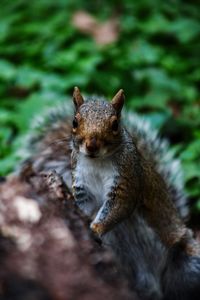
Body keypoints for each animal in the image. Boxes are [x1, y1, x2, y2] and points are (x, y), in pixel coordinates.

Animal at [19, 86, 200, 300]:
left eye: (115, 125)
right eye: (74, 122)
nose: (91, 145)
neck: (97, 161)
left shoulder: (127, 179)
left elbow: (119, 207)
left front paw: (95, 229)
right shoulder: (82, 184)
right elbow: (83, 206)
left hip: (186, 259)